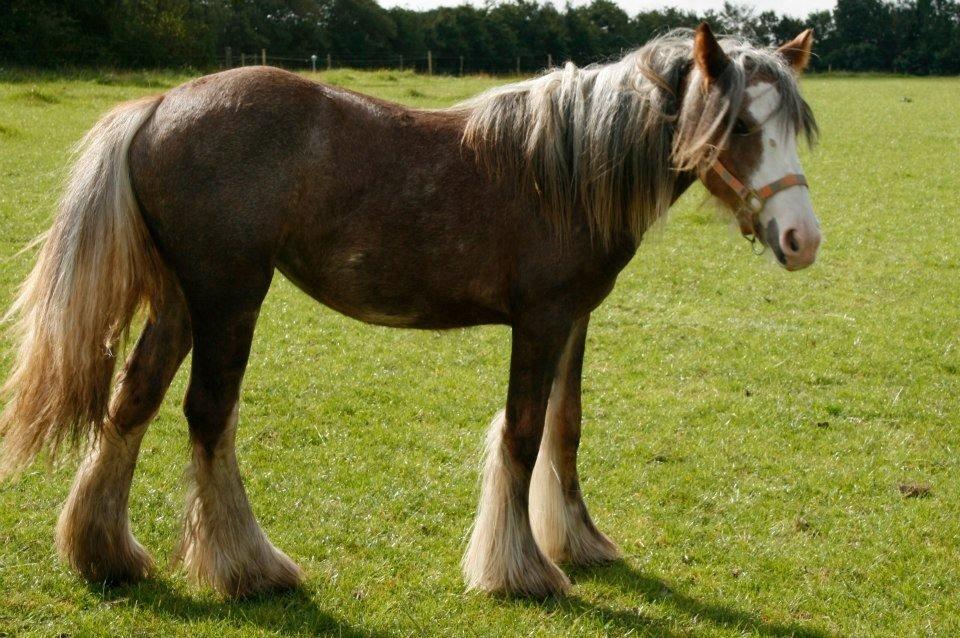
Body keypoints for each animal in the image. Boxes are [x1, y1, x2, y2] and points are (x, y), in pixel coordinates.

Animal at [0, 23, 820, 600]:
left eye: (792, 128)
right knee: (208, 414)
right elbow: (523, 433)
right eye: (739, 126)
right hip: (230, 294)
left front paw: (577, 543)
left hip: (180, 300)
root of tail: (159, 106)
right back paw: (249, 568)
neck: (565, 168)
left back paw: (103, 553)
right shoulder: (541, 319)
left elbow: (566, 428)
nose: (802, 240)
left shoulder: (576, 319)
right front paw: (518, 570)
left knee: (132, 402)